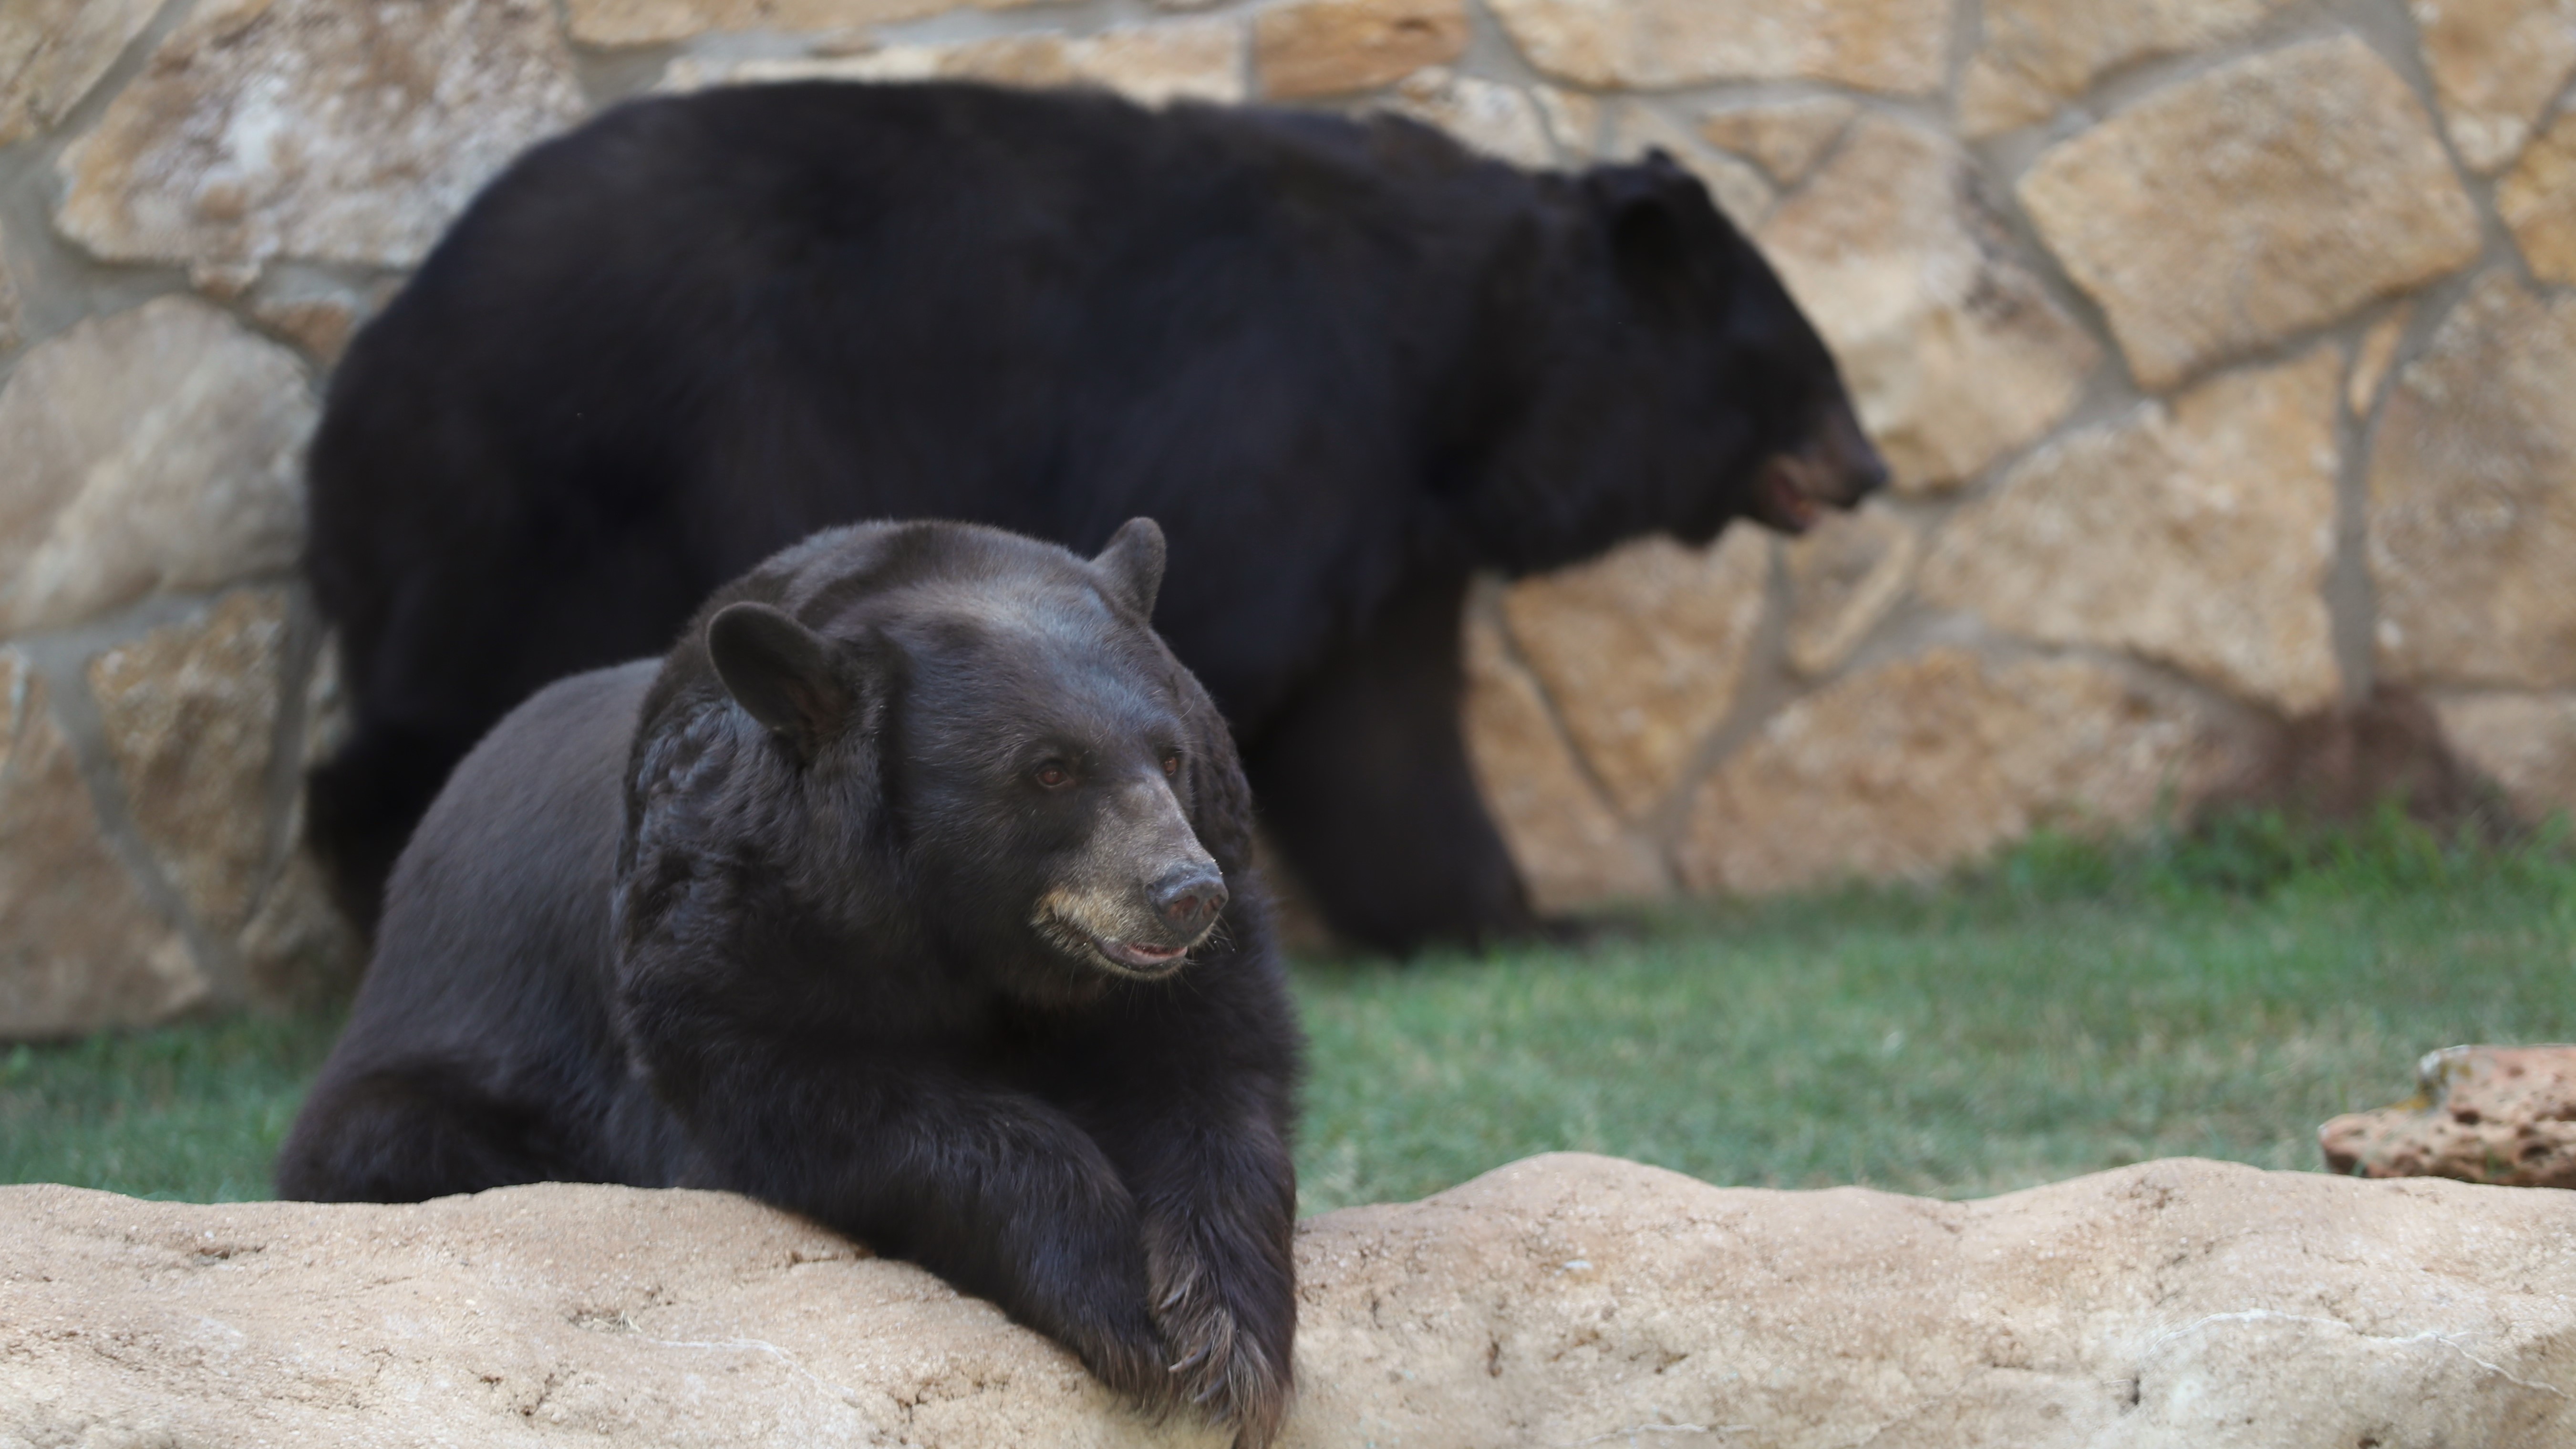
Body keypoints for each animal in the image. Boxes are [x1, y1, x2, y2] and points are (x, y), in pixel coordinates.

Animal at [275, 518, 1302, 1449]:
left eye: (1171, 756)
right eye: (1049, 770)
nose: (1185, 894)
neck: (986, 952)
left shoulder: (1196, 948)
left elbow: (1215, 1074)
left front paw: (1226, 1333)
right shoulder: (719, 928)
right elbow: (802, 1096)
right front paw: (1112, 1297)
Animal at [302, 80, 1888, 954]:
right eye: (1800, 357)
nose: (1871, 466)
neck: (1457, 368)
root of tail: (363, 374)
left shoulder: (1389, 527)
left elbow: (1385, 740)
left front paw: (1537, 915)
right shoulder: (1266, 416)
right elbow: (1219, 656)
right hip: (574, 476)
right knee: (456, 707)